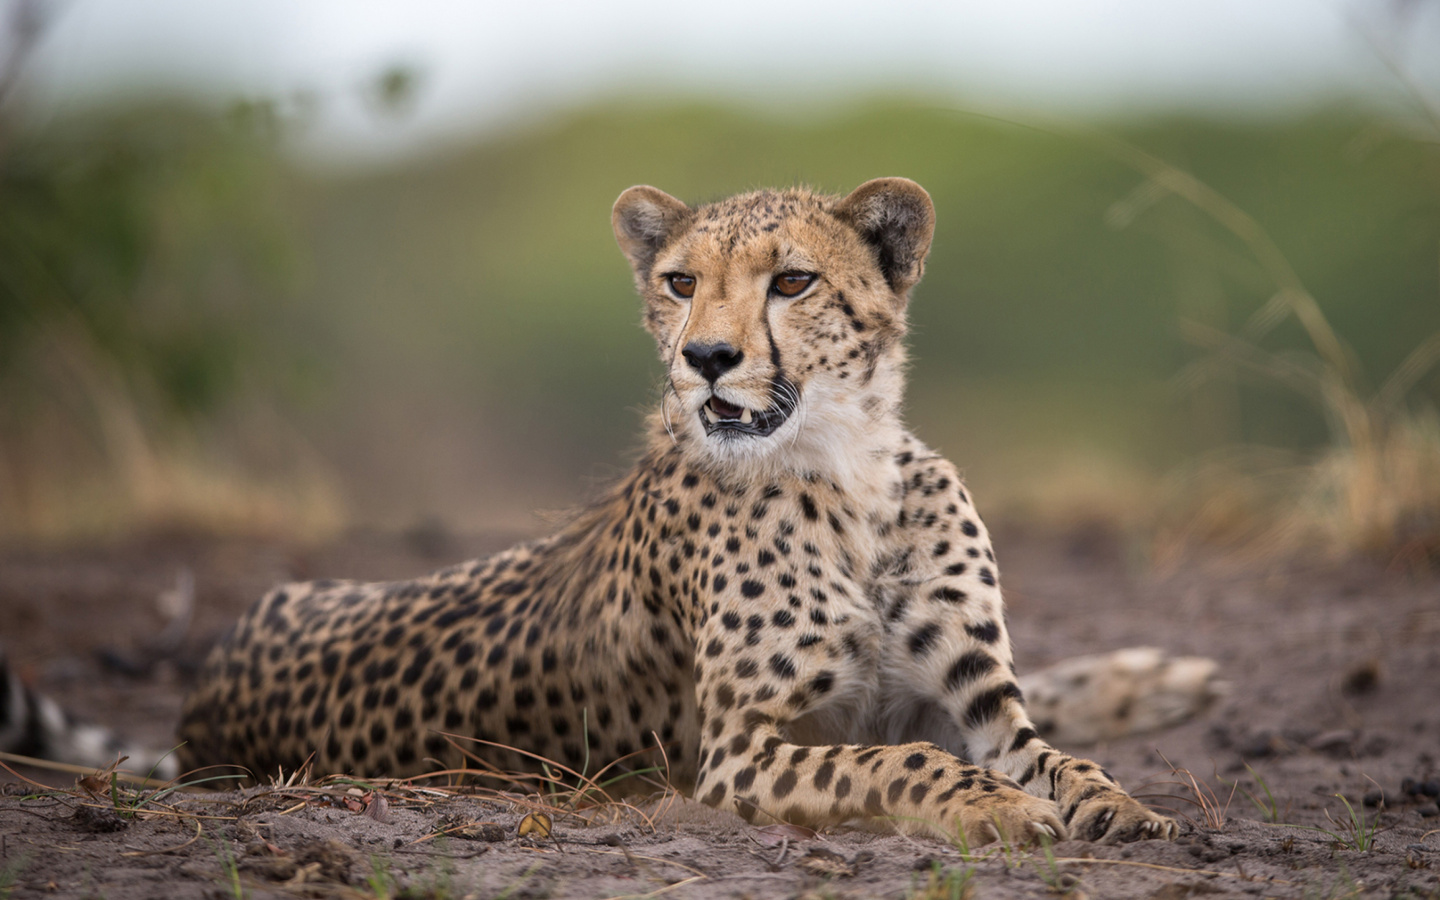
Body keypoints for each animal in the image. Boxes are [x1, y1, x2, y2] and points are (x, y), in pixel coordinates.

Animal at [8, 177, 1226, 840]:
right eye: (681, 282)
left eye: (792, 281)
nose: (708, 360)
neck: (851, 472)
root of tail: (202, 712)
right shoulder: (740, 753)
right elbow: (905, 764)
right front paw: (1002, 810)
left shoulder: (978, 702)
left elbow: (1055, 754)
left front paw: (1116, 799)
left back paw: (1160, 677)